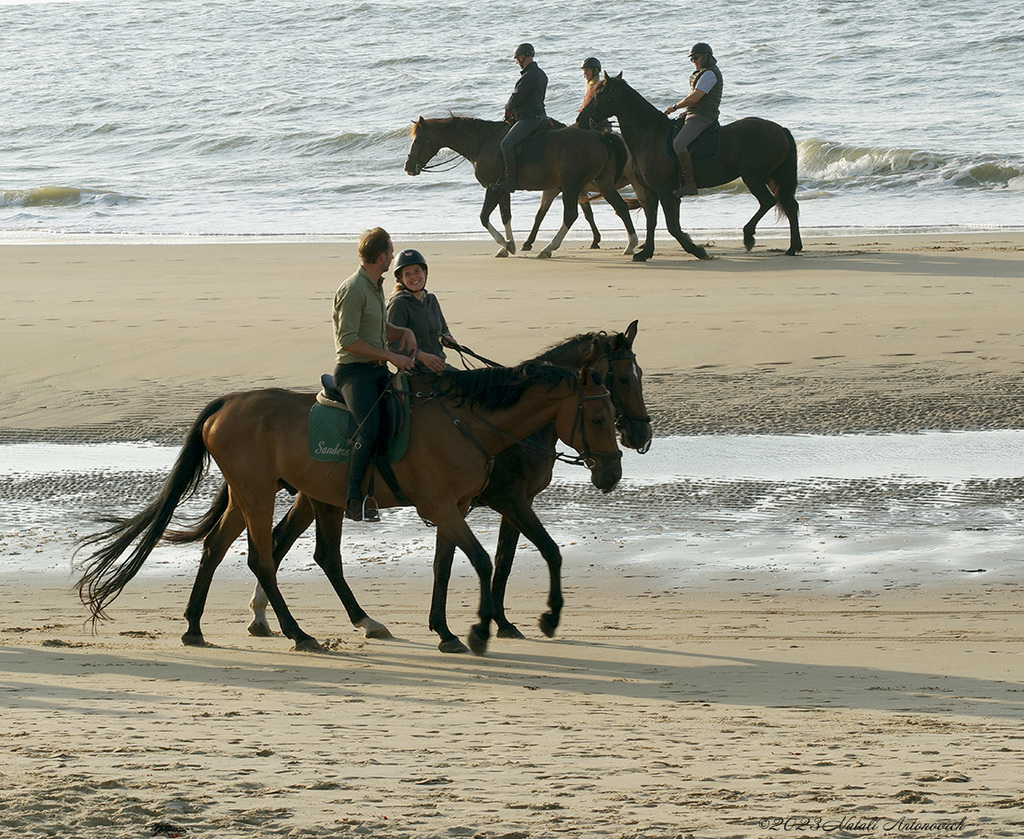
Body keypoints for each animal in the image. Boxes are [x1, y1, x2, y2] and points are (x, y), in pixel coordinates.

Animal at [75, 364, 618, 659]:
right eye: (597, 417)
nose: (612, 473)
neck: (465, 421)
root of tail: (227, 403)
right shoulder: (448, 505)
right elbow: (486, 560)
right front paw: (485, 628)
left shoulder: (456, 507)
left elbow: (446, 565)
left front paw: (446, 631)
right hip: (259, 493)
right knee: (263, 558)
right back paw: (298, 633)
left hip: (261, 494)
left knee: (220, 549)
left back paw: (194, 627)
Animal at [239, 317, 651, 651]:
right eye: (622, 379)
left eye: (640, 376)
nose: (640, 437)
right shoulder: (509, 500)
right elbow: (529, 554)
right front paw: (513, 620)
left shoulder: (493, 504)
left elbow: (486, 560)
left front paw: (487, 623)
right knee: (281, 547)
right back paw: (280, 620)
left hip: (317, 497)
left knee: (283, 544)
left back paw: (272, 617)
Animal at [403, 115, 634, 259]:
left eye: (420, 140)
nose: (408, 167)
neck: (482, 143)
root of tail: (599, 135)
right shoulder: (503, 189)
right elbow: (506, 216)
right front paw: (509, 245)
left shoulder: (492, 188)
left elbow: (484, 217)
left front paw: (505, 244)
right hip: (601, 183)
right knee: (621, 207)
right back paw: (631, 244)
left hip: (571, 186)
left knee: (571, 215)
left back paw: (549, 248)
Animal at [577, 73, 798, 261]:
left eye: (599, 94)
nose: (580, 120)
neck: (652, 136)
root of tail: (780, 129)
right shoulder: (651, 191)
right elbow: (652, 222)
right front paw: (646, 252)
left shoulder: (665, 190)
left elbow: (672, 226)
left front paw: (696, 250)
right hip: (771, 177)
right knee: (790, 205)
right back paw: (793, 247)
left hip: (754, 177)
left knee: (768, 201)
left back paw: (749, 236)